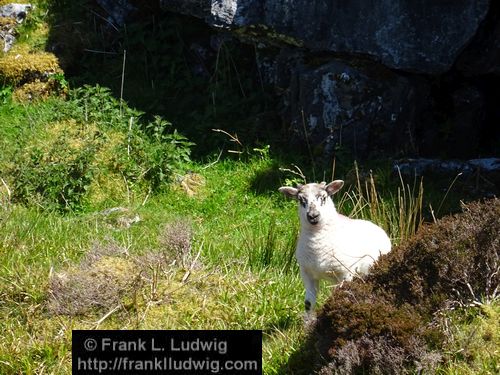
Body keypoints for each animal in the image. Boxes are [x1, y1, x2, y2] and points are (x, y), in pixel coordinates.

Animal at [278, 181, 390, 314]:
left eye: (324, 197)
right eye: (301, 200)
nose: (313, 216)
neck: (317, 244)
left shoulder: (345, 273)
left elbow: (342, 297)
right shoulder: (307, 273)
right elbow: (308, 304)